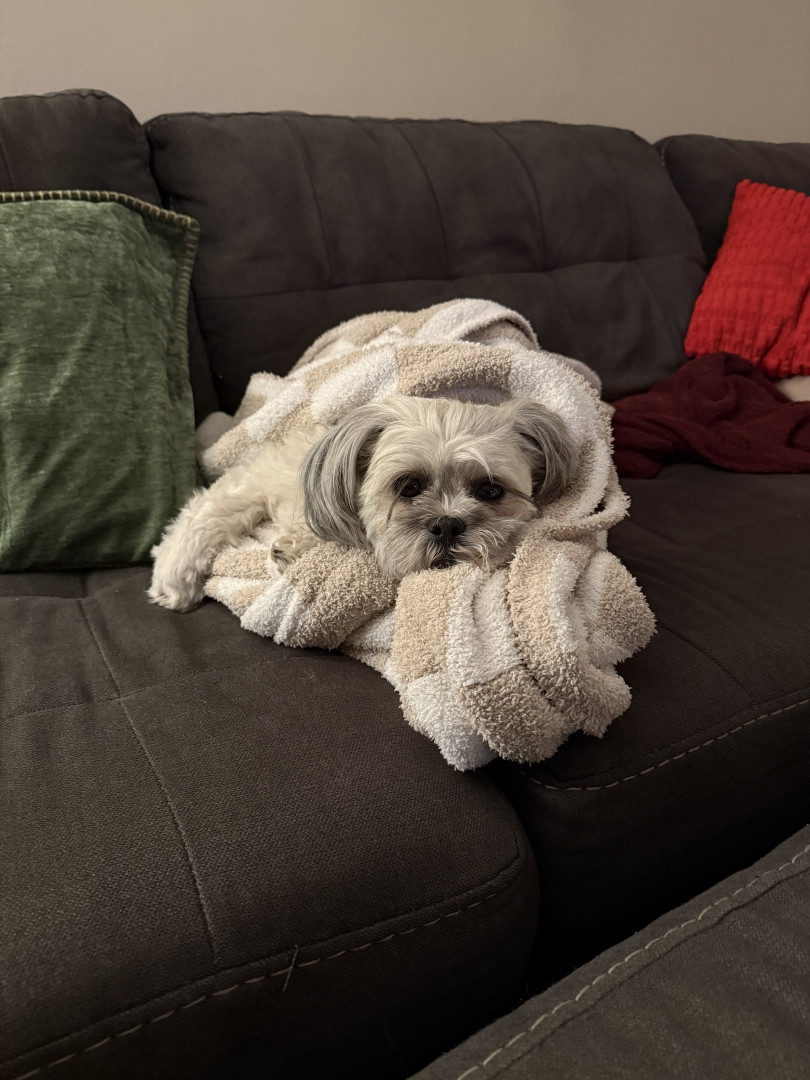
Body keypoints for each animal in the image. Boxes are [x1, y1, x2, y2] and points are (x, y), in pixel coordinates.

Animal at [148, 394, 576, 612]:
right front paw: (290, 546)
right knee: (202, 513)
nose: (448, 524)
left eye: (490, 490)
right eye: (408, 487)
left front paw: (291, 547)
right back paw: (172, 579)